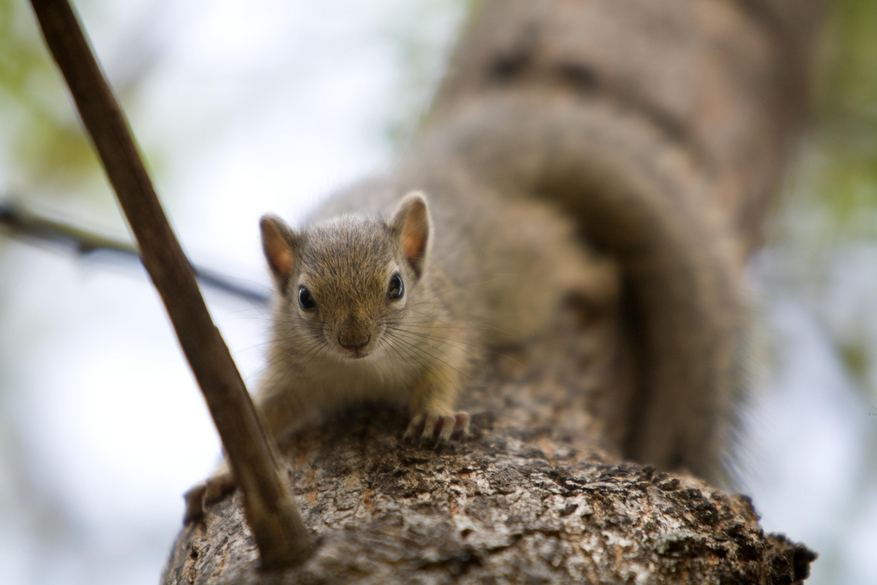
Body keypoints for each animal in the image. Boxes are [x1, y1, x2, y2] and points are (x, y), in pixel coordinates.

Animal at [181, 90, 744, 520]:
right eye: (303, 298)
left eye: (396, 287)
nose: (355, 341)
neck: (363, 371)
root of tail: (458, 178)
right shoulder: (289, 370)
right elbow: (257, 422)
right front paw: (222, 476)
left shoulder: (443, 329)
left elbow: (445, 370)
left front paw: (436, 416)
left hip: (524, 277)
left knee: (557, 245)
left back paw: (597, 278)